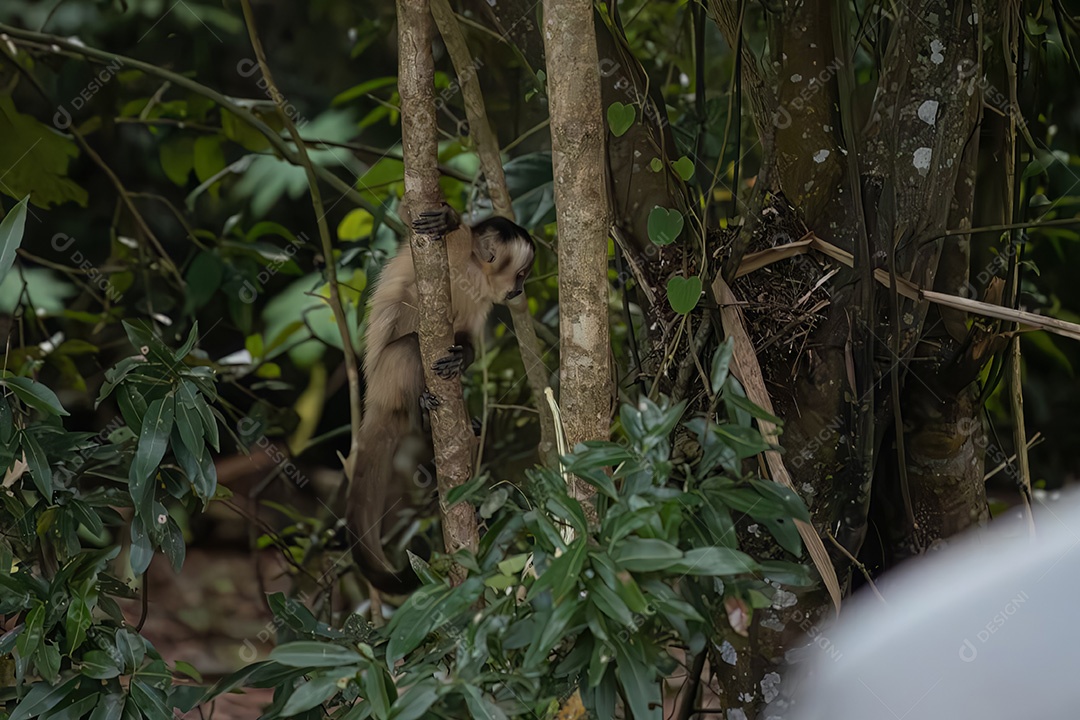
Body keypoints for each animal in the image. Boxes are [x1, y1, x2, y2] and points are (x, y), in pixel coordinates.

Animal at [347, 205, 535, 594]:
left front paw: (462, 357)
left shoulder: (483, 298)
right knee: (409, 347)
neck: (474, 270)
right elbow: (413, 220)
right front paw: (448, 220)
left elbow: (468, 338)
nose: (521, 289)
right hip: (388, 376)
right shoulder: (455, 250)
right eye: (522, 274)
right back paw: (419, 413)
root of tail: (374, 399)